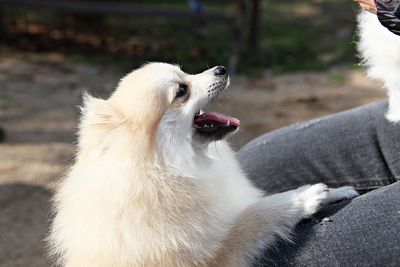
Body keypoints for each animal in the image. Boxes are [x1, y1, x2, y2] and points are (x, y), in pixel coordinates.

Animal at [48, 63, 358, 267]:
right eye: (182, 90)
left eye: (184, 71)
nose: (221, 68)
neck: (172, 167)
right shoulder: (212, 256)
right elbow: (254, 215)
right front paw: (304, 196)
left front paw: (338, 190)